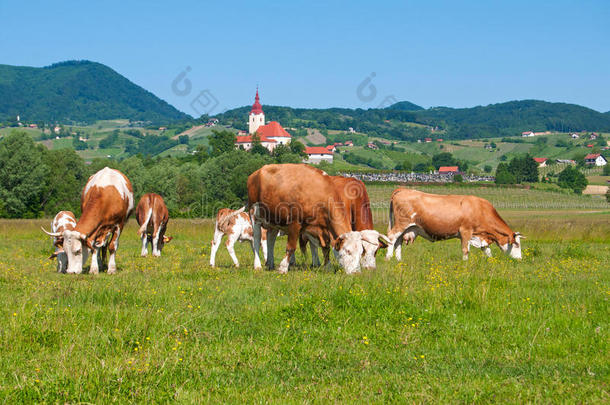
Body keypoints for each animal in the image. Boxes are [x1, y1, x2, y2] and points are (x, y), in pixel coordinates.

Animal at [246, 163, 384, 274]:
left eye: (362, 252)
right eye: (348, 251)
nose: (357, 273)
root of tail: (256, 172)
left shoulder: (321, 227)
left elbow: (326, 246)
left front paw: (327, 266)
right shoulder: (295, 223)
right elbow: (291, 247)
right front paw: (283, 268)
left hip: (274, 220)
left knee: (271, 239)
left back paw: (270, 263)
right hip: (254, 214)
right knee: (257, 240)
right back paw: (258, 265)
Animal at [384, 189, 524, 260]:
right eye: (516, 244)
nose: (520, 259)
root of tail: (403, 189)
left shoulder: (480, 236)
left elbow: (487, 251)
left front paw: (491, 263)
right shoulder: (465, 231)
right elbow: (465, 250)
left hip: (405, 228)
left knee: (398, 242)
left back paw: (399, 261)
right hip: (401, 224)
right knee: (392, 238)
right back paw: (388, 258)